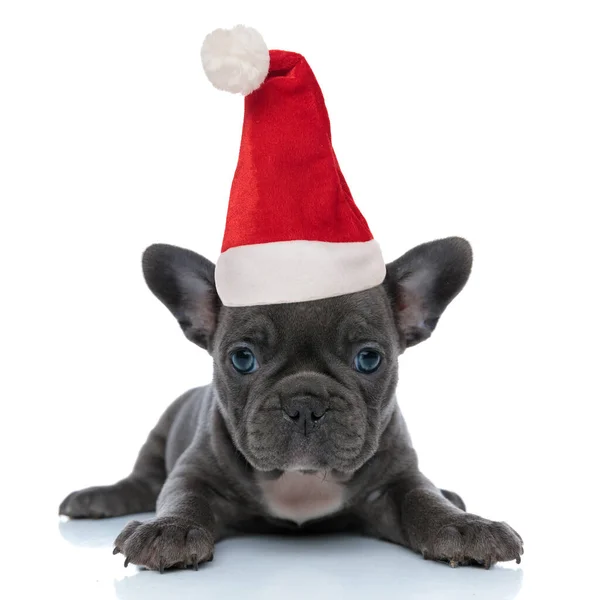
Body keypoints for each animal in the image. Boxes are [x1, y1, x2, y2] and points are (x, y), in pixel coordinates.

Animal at [58, 236, 524, 572]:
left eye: (368, 358)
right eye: (242, 358)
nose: (304, 403)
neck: (301, 478)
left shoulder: (397, 479)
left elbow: (423, 499)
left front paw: (464, 526)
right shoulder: (193, 472)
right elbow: (182, 496)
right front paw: (168, 531)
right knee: (141, 480)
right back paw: (97, 498)